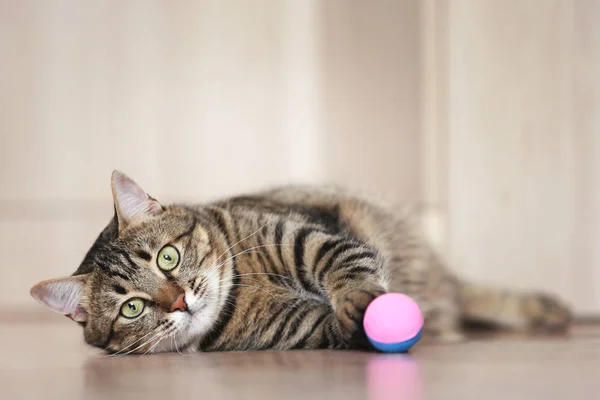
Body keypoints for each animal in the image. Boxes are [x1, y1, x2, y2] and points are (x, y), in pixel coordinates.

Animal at [29, 171, 572, 354]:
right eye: (132, 309)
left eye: (168, 257)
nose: (181, 300)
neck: (241, 290)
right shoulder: (301, 329)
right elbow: (336, 325)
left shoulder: (307, 236)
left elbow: (347, 265)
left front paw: (361, 297)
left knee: (471, 293)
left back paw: (546, 311)